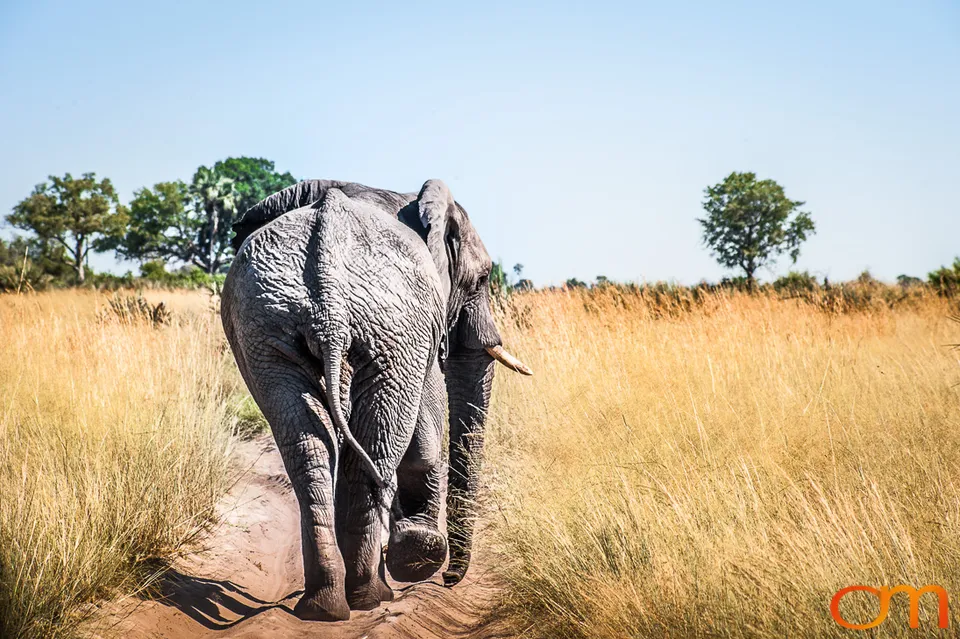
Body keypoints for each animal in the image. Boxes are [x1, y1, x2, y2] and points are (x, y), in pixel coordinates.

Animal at [221, 179, 531, 621]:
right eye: (484, 278)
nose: (450, 581)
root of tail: (329, 305)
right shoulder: (422, 333)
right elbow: (424, 425)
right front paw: (416, 550)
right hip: (390, 327)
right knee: (380, 438)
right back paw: (371, 594)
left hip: (265, 324)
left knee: (307, 445)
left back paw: (325, 606)